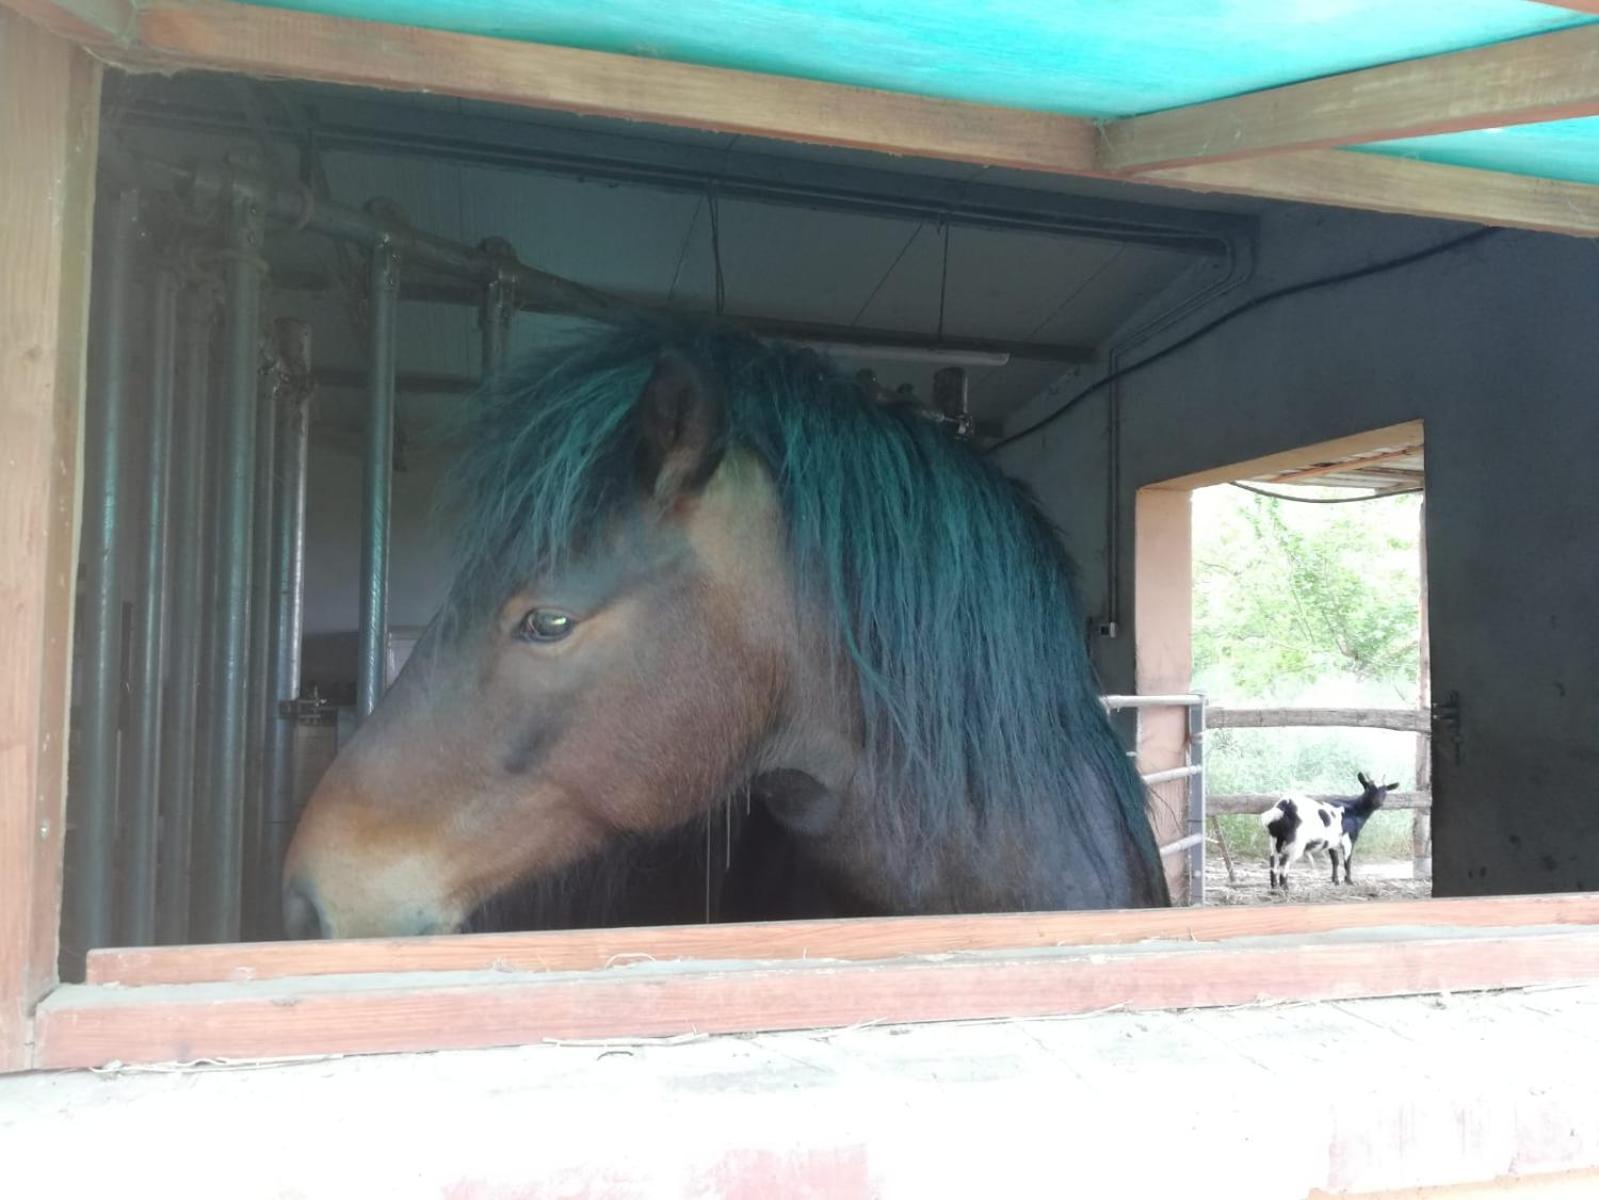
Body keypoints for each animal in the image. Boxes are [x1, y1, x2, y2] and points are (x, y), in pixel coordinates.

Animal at [1260, 774, 1400, 889]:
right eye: (1369, 788)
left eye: (1385, 790)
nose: (1378, 802)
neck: (1354, 810)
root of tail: (1282, 806)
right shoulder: (1349, 839)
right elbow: (1347, 860)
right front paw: (1349, 881)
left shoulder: (1332, 841)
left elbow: (1335, 861)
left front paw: (1335, 881)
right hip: (1295, 841)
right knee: (1284, 861)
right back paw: (1285, 887)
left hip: (1274, 838)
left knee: (1273, 860)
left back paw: (1274, 886)